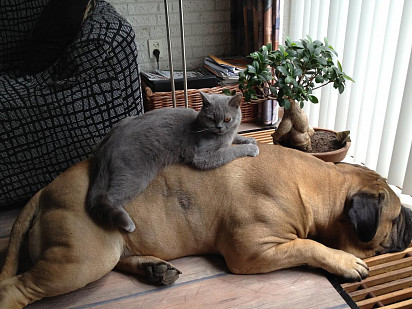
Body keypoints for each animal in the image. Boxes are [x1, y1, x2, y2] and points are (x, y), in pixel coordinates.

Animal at [0, 143, 412, 306]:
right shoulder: (253, 251)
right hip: (82, 259)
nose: (411, 219)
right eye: (397, 219)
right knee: (17, 288)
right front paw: (343, 262)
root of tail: (45, 191)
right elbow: (309, 245)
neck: (318, 186)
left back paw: (154, 269)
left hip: (110, 246)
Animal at [85, 91, 260, 231]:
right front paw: (251, 148)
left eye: (227, 119)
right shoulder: (203, 156)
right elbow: (230, 151)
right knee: (111, 198)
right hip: (135, 176)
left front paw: (249, 139)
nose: (219, 127)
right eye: (211, 118)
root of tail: (107, 145)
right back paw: (126, 223)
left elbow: (235, 137)